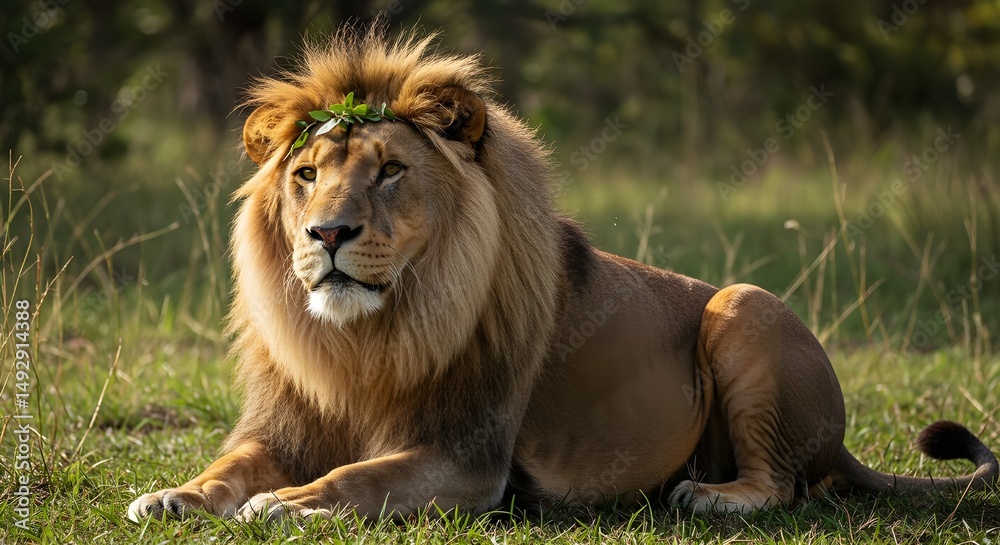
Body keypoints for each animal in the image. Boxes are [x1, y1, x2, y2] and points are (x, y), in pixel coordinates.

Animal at [128, 26, 998, 522]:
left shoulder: (467, 457)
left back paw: (711, 495)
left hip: (744, 304)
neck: (365, 338)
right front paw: (178, 494)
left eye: (390, 170)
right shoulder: (282, 423)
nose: (327, 233)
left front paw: (288, 502)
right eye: (306, 174)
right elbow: (230, 465)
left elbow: (356, 476)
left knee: (781, 483)